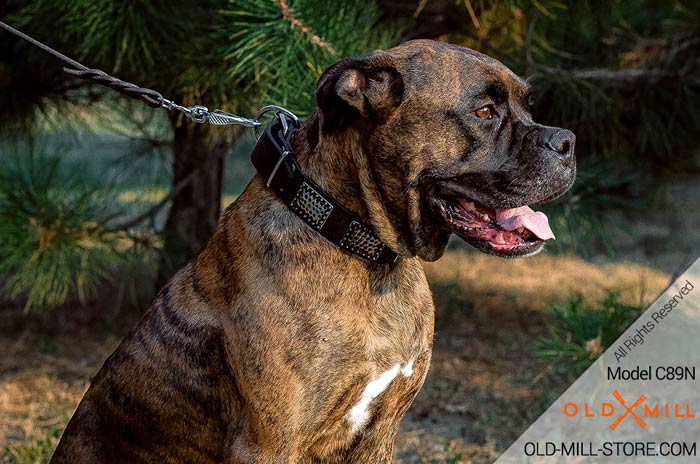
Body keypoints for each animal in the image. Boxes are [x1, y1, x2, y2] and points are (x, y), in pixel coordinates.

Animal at [50, 40, 576, 464]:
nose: (568, 141)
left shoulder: (378, 435)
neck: (367, 256)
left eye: (528, 107)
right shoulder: (266, 445)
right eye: (485, 111)